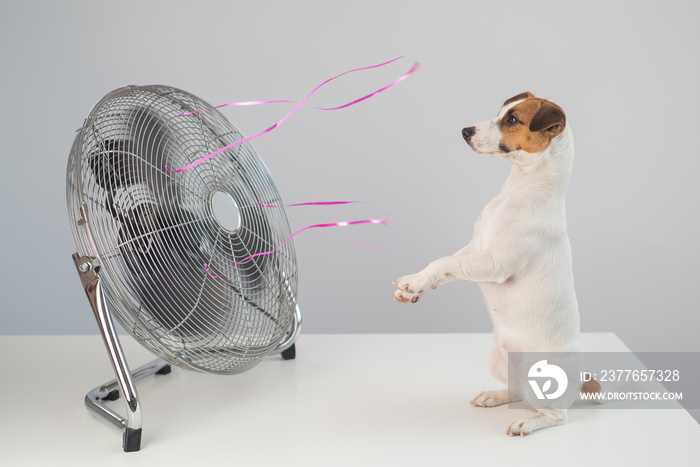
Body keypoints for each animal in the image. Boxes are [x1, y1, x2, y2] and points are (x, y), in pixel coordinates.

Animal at [392, 93, 600, 436]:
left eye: (512, 119)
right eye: (501, 111)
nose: (465, 131)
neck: (520, 188)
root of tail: (580, 381)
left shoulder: (494, 263)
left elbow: (445, 261)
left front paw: (415, 284)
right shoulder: (475, 248)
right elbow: (444, 264)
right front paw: (414, 286)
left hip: (544, 381)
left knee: (556, 414)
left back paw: (528, 423)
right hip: (499, 363)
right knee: (516, 390)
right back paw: (494, 396)